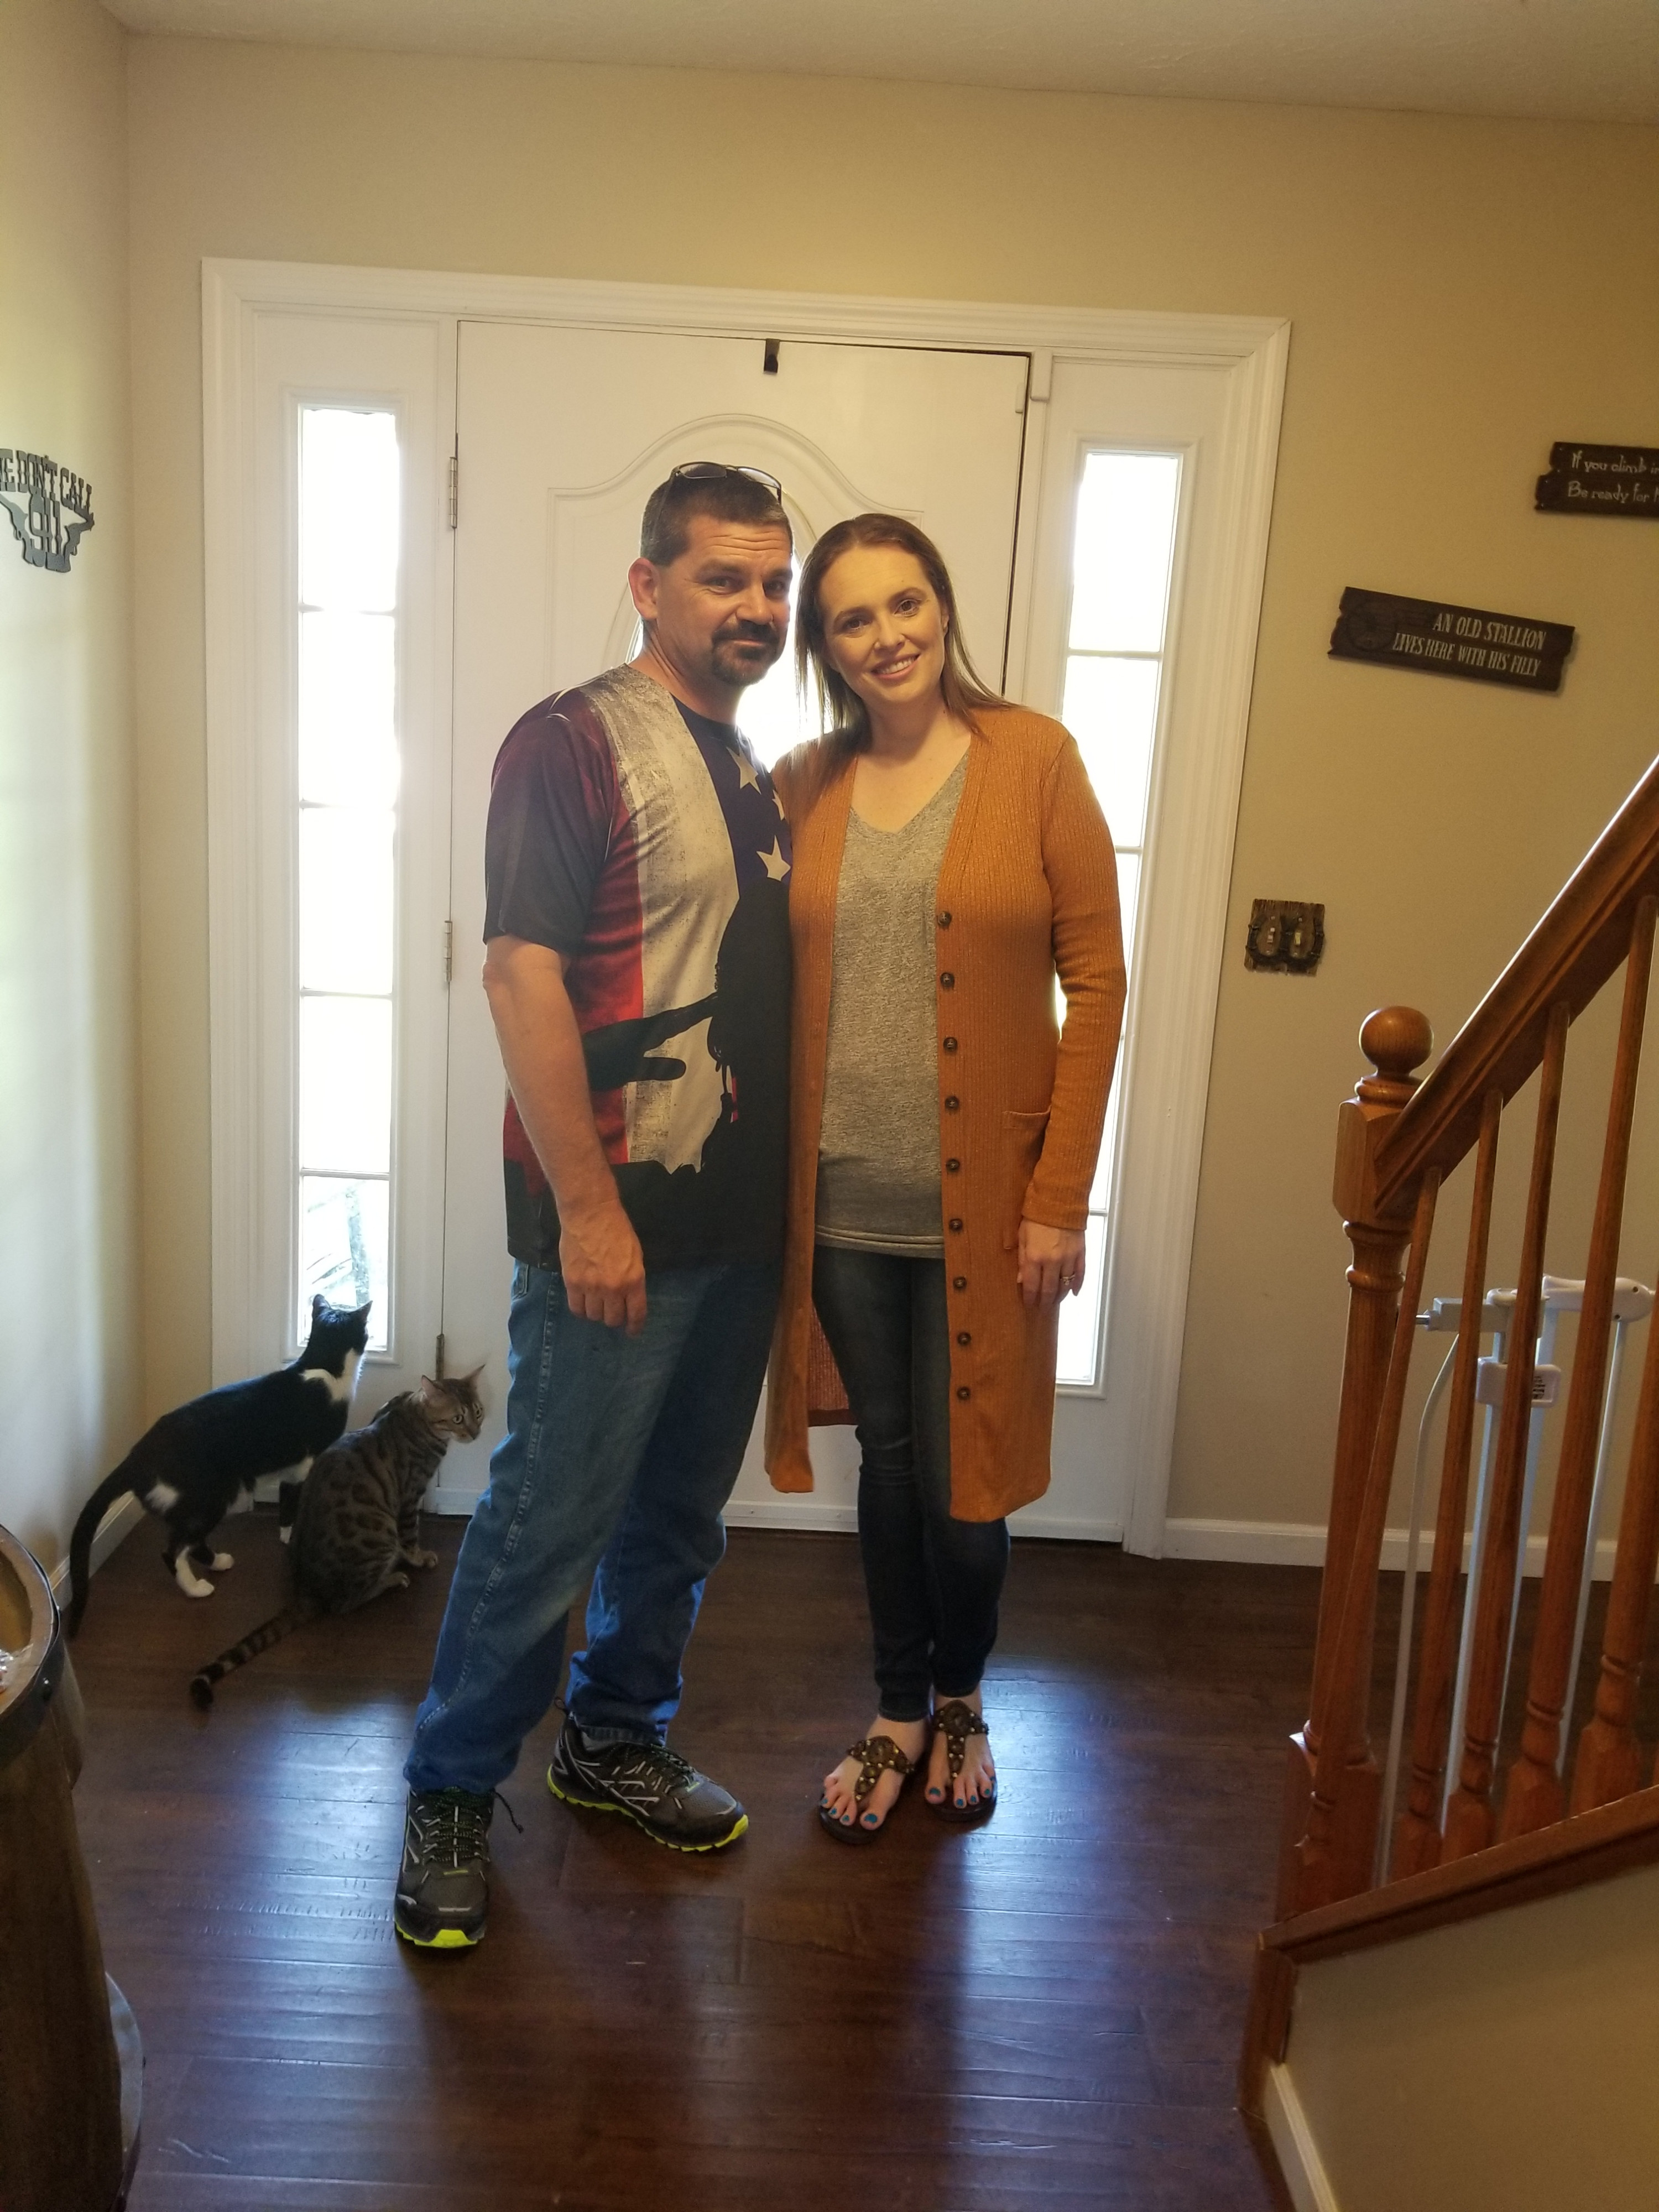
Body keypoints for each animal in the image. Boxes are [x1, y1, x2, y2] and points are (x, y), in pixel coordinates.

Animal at [67, 1295, 372, 1636]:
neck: (324, 1364)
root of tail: (136, 1457)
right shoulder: (309, 1463)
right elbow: (298, 1502)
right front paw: (294, 1537)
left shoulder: (293, 1471)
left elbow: (286, 1502)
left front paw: (286, 1536)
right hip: (210, 1496)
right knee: (173, 1549)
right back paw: (196, 1588)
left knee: (190, 1539)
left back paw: (218, 1563)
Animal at [188, 1368, 485, 1709]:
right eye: (458, 1418)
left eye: (478, 1412)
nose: (476, 1433)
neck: (415, 1413)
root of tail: (307, 1590)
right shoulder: (411, 1496)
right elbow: (411, 1536)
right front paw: (419, 1558)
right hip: (381, 1536)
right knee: (346, 1603)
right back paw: (391, 1579)